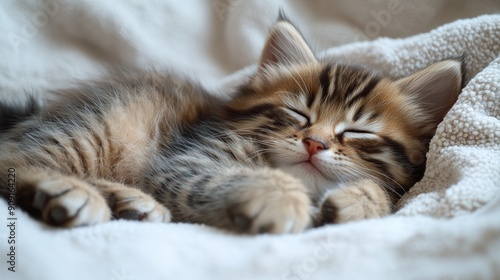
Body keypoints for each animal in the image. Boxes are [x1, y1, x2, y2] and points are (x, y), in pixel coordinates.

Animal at [0, 18, 460, 234]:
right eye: (300, 115)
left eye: (357, 132)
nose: (313, 144)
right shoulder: (186, 159)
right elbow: (240, 177)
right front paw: (280, 199)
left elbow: (383, 193)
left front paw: (359, 201)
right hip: (106, 122)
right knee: (14, 156)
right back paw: (72, 191)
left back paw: (130, 201)